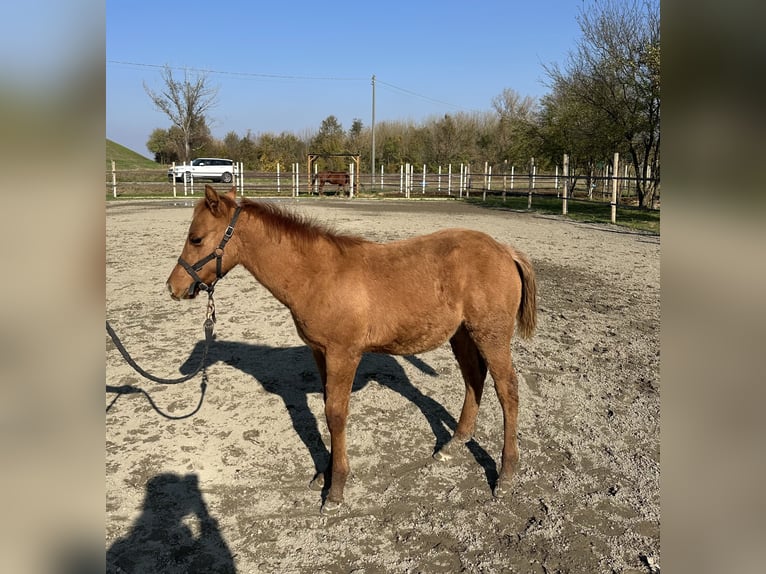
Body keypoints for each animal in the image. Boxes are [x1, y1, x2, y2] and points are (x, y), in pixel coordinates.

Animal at [166, 186, 537, 513]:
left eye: (196, 238)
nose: (174, 287)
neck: (319, 275)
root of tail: (505, 250)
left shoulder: (343, 354)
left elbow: (336, 414)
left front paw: (336, 490)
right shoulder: (320, 353)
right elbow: (328, 409)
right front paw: (324, 473)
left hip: (491, 335)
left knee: (507, 389)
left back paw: (506, 474)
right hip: (461, 335)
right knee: (474, 378)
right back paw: (455, 443)